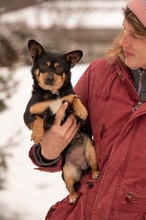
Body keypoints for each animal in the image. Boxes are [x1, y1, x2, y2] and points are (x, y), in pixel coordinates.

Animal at [23, 39, 99, 203]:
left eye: (59, 69)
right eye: (43, 66)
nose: (49, 78)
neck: (53, 94)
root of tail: (81, 168)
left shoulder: (68, 100)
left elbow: (75, 98)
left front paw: (82, 110)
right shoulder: (28, 114)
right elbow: (37, 120)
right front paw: (37, 134)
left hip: (91, 151)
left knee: (94, 166)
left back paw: (95, 173)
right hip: (67, 172)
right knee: (71, 188)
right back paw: (73, 197)